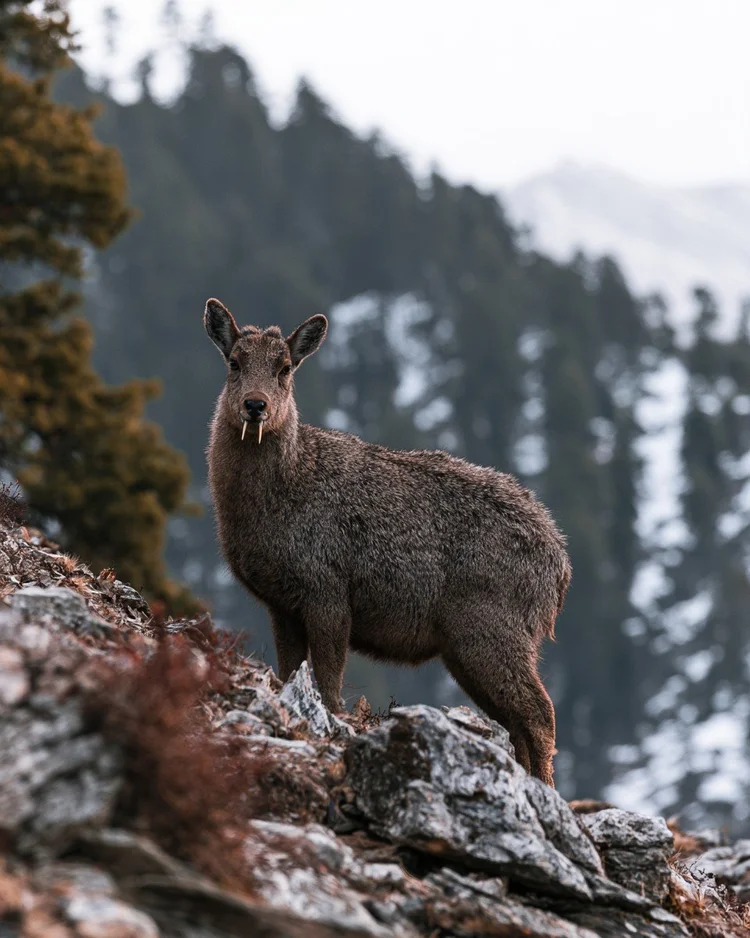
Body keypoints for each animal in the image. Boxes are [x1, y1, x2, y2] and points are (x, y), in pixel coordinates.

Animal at [204, 298, 571, 786]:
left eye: (285, 368)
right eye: (234, 362)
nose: (255, 405)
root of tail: (560, 567)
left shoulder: (328, 590)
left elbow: (329, 684)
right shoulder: (282, 605)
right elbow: (290, 673)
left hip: (494, 629)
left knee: (539, 714)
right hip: (468, 647)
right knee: (517, 723)